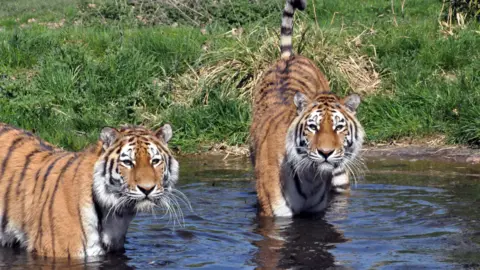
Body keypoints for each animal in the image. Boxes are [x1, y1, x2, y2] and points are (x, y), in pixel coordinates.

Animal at [251, 0, 364, 216]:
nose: (326, 153)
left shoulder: (317, 212)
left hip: (341, 176)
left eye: (339, 127)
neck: (311, 177)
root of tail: (288, 56)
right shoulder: (274, 213)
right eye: (313, 126)